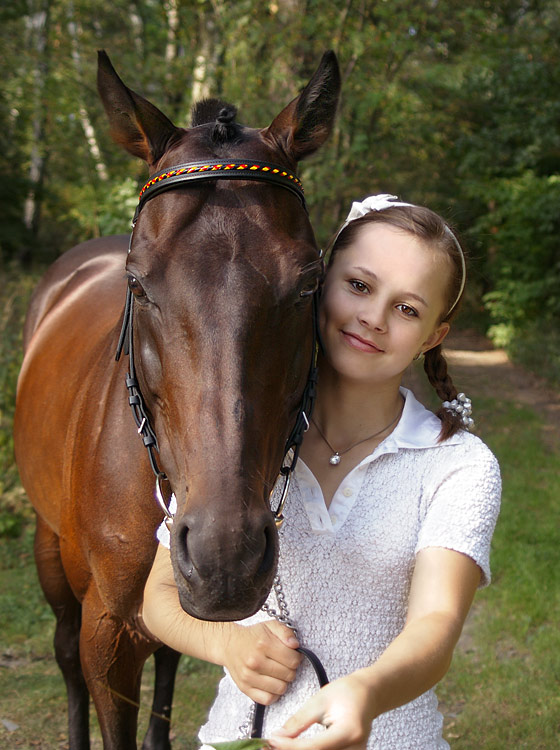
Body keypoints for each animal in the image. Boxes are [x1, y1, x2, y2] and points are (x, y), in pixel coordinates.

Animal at [13, 50, 340, 748]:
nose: (225, 555)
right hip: (51, 553)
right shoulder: (106, 635)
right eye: (138, 282)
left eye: (309, 284)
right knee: (62, 652)